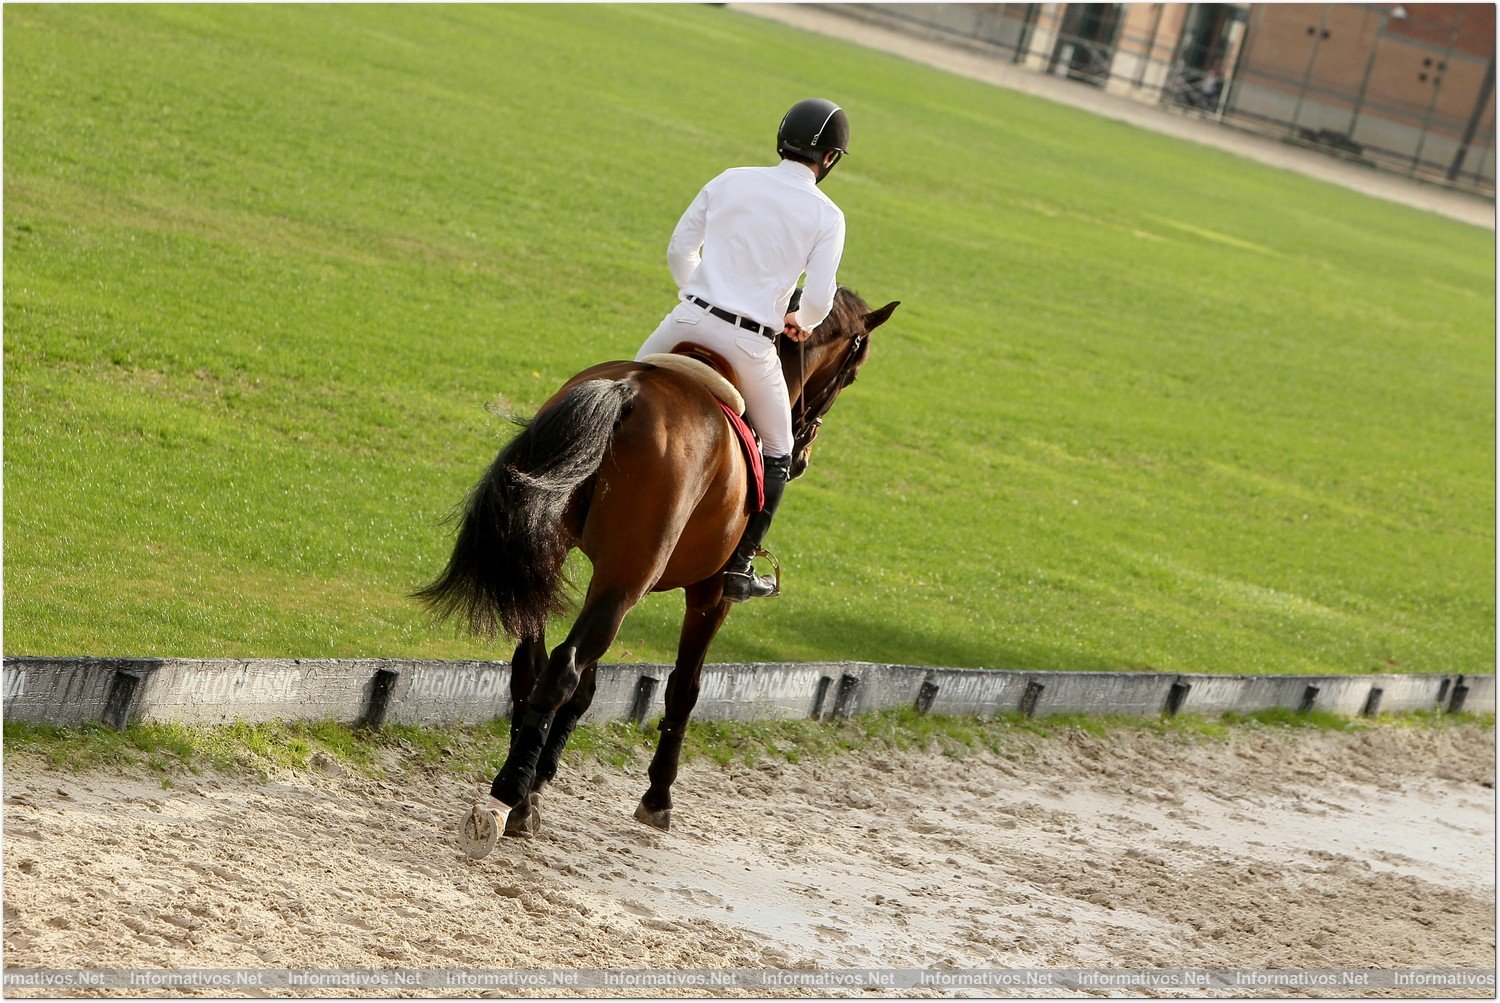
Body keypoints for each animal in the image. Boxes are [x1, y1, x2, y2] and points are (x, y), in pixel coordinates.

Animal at [417, 283, 894, 851]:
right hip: (632, 578)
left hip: (570, 561)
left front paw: (544, 778)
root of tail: (626, 392)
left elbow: (589, 691)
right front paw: (657, 798)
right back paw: (508, 797)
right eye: (853, 372)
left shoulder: (611, 578)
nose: (801, 456)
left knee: (532, 663)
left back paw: (518, 791)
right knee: (562, 668)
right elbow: (683, 691)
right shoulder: (708, 594)